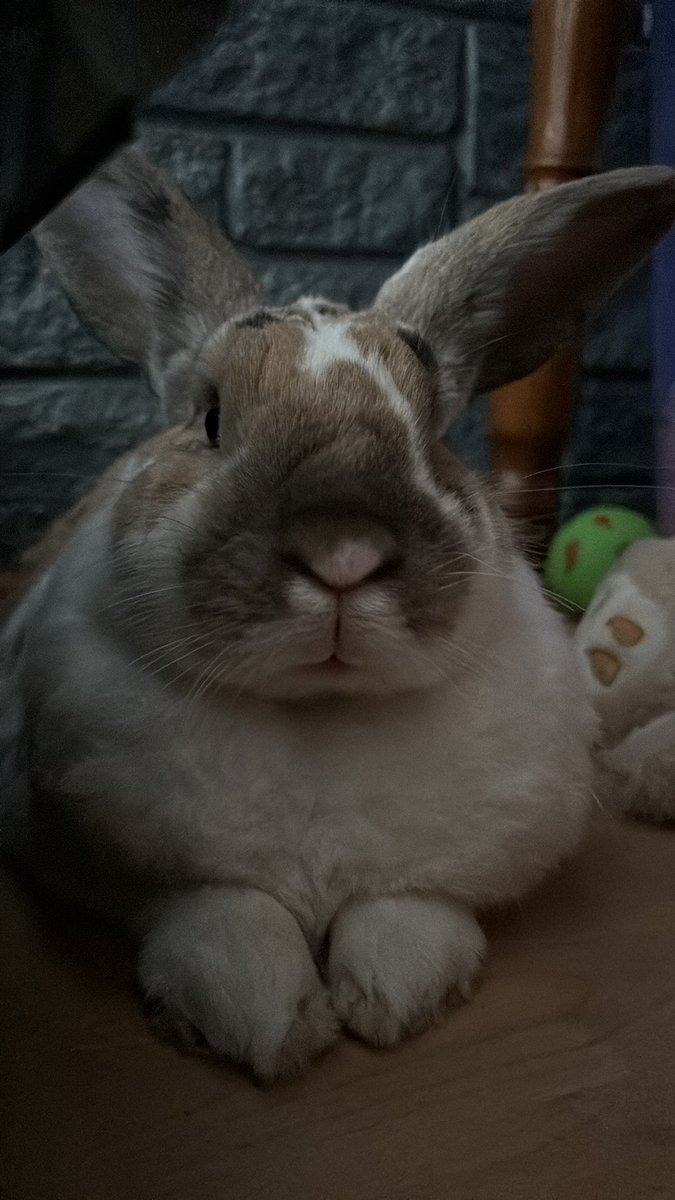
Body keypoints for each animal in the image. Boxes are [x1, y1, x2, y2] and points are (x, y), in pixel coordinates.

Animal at [2, 149, 675, 1080]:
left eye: (433, 435)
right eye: (210, 419)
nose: (343, 552)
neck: (320, 715)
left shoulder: (436, 879)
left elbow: (405, 915)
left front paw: (389, 999)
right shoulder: (125, 870)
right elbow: (225, 917)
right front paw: (269, 1026)